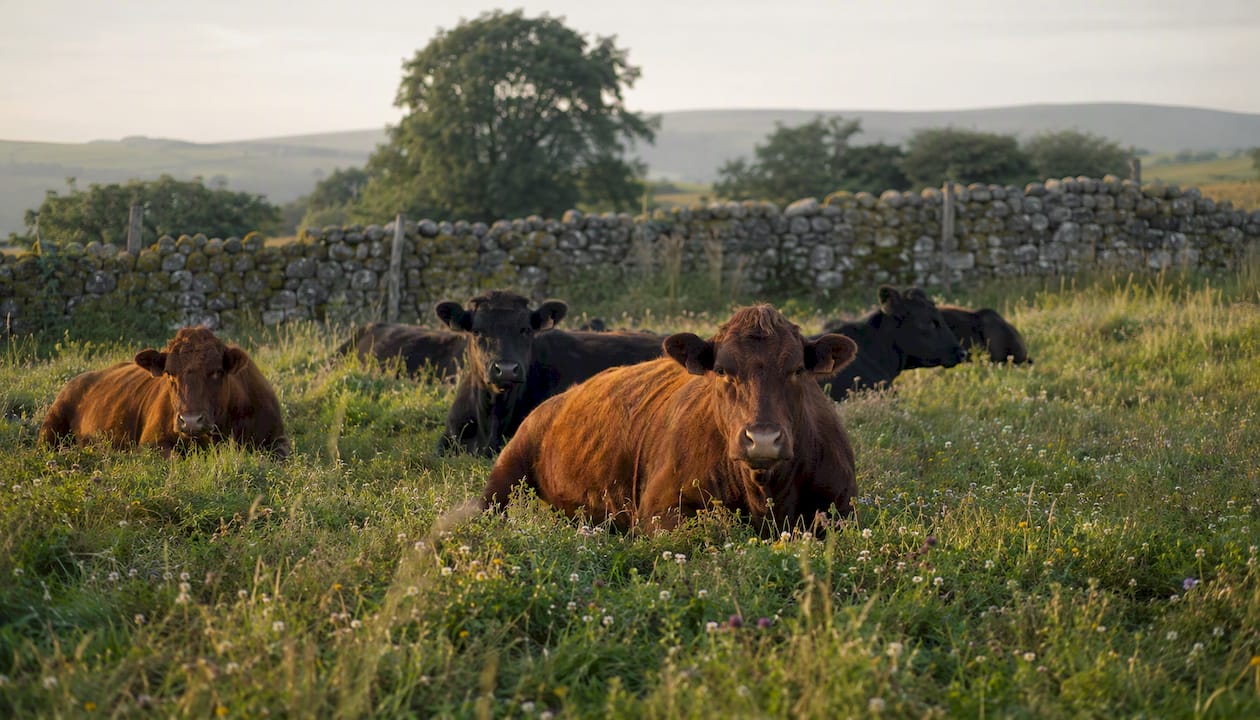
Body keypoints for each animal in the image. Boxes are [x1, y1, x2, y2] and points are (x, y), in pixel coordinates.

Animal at [39, 327, 290, 458]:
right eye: (169, 373)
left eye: (217, 371)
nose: (191, 420)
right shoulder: (152, 443)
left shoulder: (278, 440)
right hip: (50, 430)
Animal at [479, 304, 859, 534]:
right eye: (722, 370)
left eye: (797, 370)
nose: (762, 439)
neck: (765, 492)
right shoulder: (662, 509)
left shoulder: (843, 508)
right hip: (506, 470)